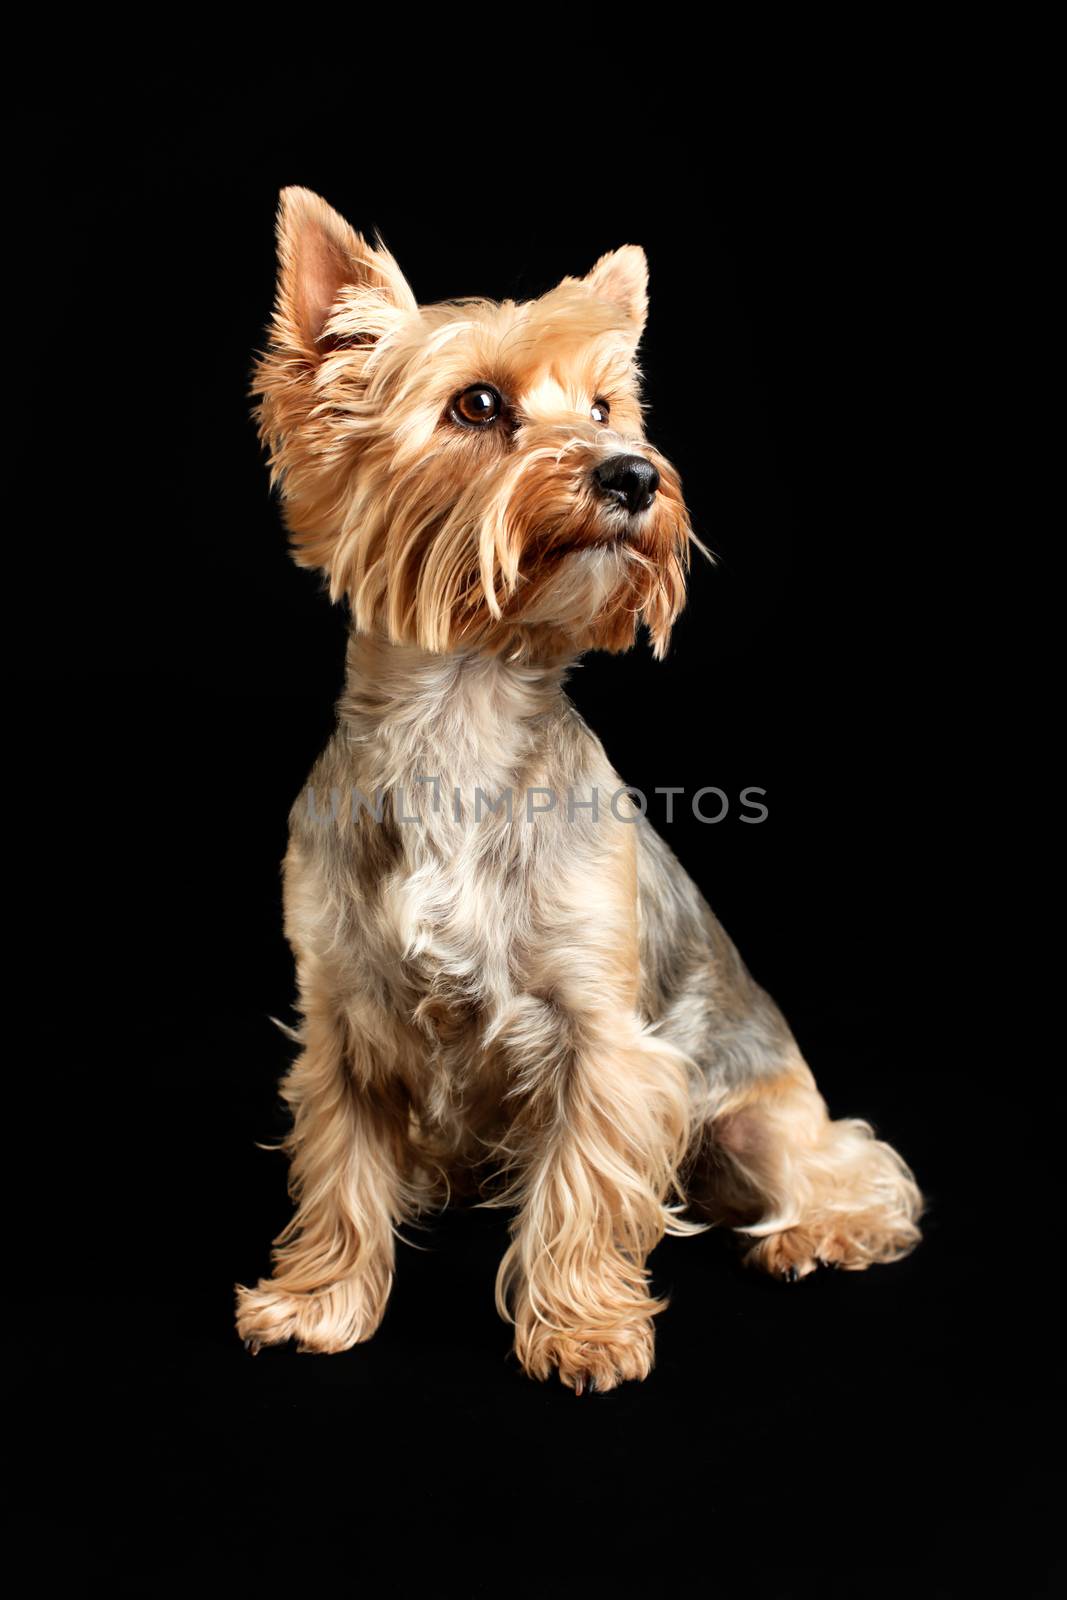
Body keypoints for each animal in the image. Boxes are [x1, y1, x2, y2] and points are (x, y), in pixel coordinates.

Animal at [233, 184, 927, 1388]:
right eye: (475, 404)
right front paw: (319, 1302)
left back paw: (811, 1234)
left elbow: (582, 1189)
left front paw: (583, 1329)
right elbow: (340, 1175)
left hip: (755, 1112)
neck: (460, 714)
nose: (633, 474)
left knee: (848, 1169)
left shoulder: (599, 1035)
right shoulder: (342, 1021)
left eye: (607, 409)